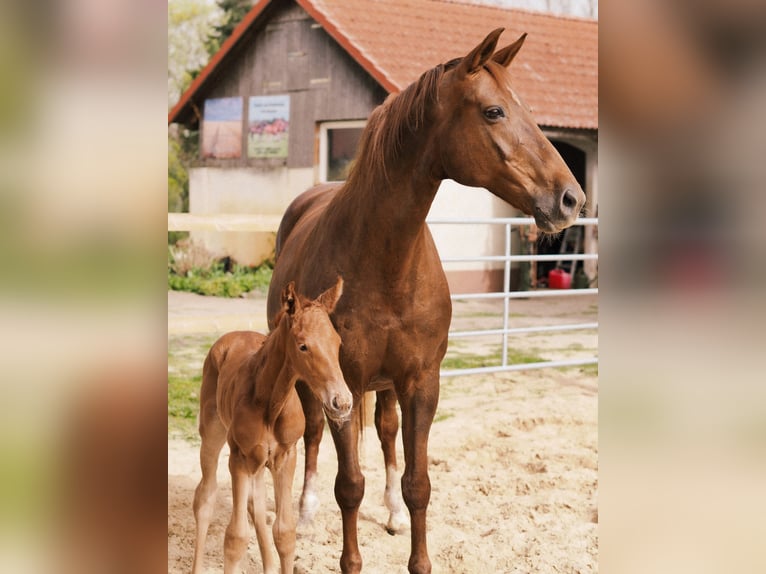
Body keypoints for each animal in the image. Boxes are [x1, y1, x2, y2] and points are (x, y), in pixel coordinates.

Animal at [190, 276, 352, 572]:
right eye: (303, 346)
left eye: (337, 343)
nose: (342, 402)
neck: (271, 404)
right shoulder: (238, 458)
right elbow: (235, 538)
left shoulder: (286, 457)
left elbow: (285, 533)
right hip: (212, 435)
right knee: (205, 498)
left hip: (258, 461)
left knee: (256, 505)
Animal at [268, 28, 584, 574]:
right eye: (494, 111)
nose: (571, 198)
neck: (384, 261)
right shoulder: (341, 383)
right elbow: (349, 486)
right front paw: (349, 559)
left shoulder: (421, 382)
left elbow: (418, 483)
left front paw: (412, 540)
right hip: (314, 384)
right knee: (310, 435)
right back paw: (305, 512)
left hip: (388, 386)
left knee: (387, 431)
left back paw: (392, 512)